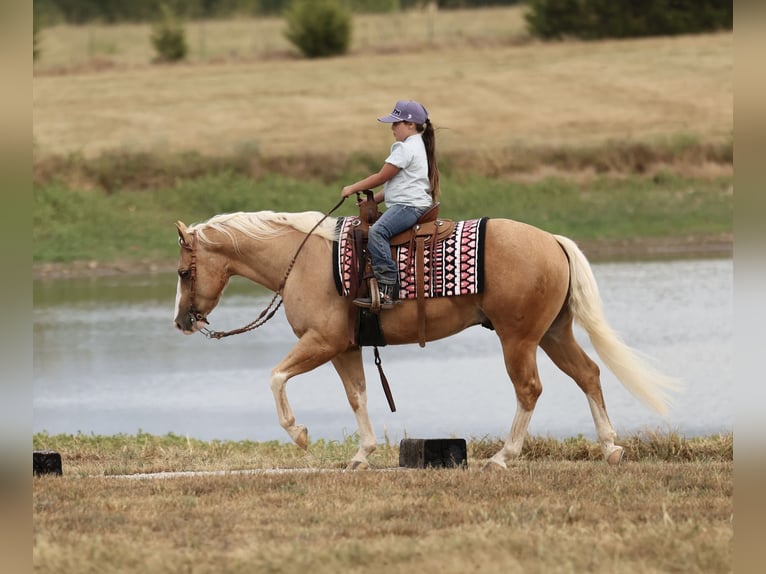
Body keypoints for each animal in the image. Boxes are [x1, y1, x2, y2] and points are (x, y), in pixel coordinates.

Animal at [173, 210, 681, 470]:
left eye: (182, 272)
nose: (181, 321)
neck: (305, 260)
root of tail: (553, 242)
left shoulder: (324, 342)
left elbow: (276, 377)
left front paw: (299, 434)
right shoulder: (347, 348)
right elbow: (358, 396)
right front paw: (362, 454)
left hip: (518, 338)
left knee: (529, 389)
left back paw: (503, 456)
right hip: (553, 333)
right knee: (588, 374)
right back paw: (611, 446)